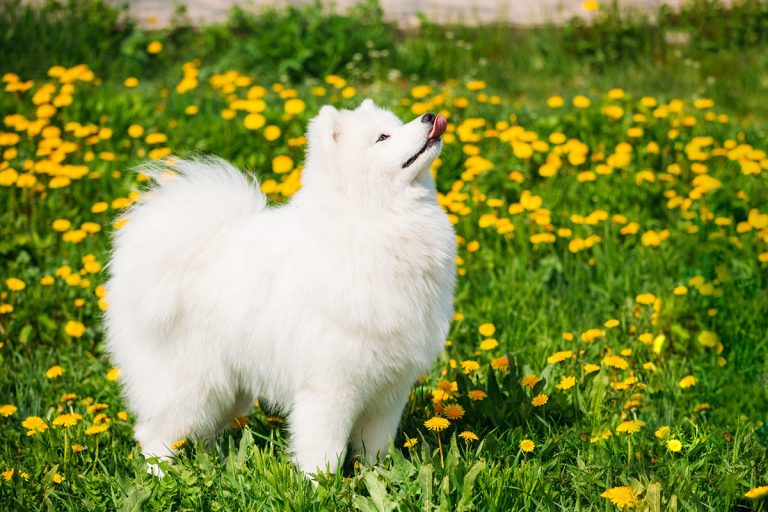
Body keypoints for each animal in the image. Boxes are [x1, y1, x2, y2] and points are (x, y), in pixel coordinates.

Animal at [106, 100, 456, 476]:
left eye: (396, 124)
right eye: (383, 137)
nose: (430, 117)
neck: (373, 220)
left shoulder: (388, 390)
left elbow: (375, 447)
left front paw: (379, 476)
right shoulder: (330, 386)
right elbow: (324, 450)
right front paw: (321, 484)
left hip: (229, 391)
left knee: (202, 433)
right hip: (191, 387)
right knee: (154, 435)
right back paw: (161, 477)